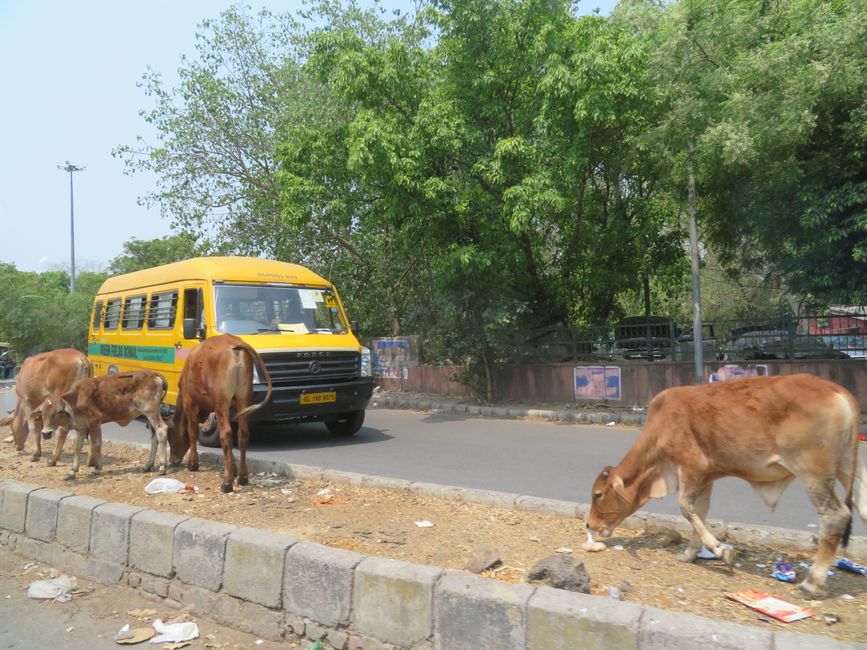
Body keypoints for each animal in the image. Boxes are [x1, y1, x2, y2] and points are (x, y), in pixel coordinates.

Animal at [36, 369, 169, 480]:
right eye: (42, 412)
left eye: (59, 411)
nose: (46, 433)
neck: (77, 398)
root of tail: (153, 374)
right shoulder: (82, 427)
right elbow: (78, 447)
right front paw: (72, 471)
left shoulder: (95, 422)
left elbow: (97, 444)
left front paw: (97, 468)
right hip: (148, 416)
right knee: (154, 438)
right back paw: (148, 465)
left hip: (151, 411)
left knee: (161, 430)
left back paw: (162, 467)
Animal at [167, 334, 272, 493]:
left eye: (170, 436)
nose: (173, 460)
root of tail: (235, 343)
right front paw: (233, 468)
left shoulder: (189, 401)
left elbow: (193, 432)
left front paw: (193, 463)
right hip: (244, 398)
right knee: (242, 433)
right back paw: (242, 477)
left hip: (221, 401)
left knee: (226, 434)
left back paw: (227, 483)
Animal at [587, 373, 867, 595]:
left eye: (598, 494)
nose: (589, 525)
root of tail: (839, 391)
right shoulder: (705, 477)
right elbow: (698, 513)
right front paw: (690, 553)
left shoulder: (691, 466)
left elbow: (686, 508)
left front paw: (721, 551)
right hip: (846, 467)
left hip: (814, 473)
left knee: (835, 515)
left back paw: (812, 582)